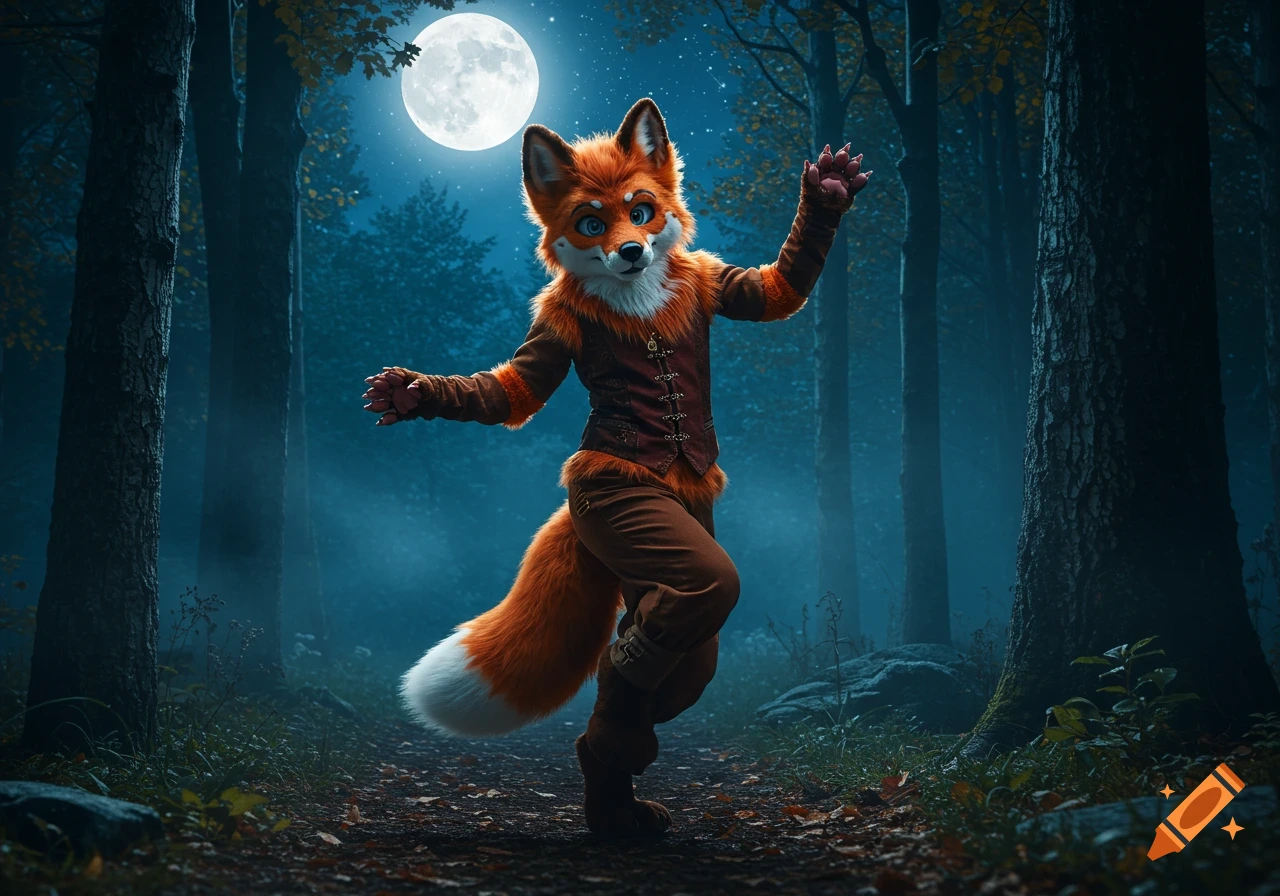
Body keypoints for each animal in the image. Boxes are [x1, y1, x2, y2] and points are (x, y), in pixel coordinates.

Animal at [364, 98, 867, 835]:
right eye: (592, 223)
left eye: (643, 211)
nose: (631, 251)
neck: (635, 299)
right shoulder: (553, 334)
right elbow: (509, 390)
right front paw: (414, 393)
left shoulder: (717, 286)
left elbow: (776, 289)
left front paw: (827, 191)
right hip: (628, 520)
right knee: (651, 643)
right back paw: (608, 783)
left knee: (652, 663)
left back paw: (613, 793)